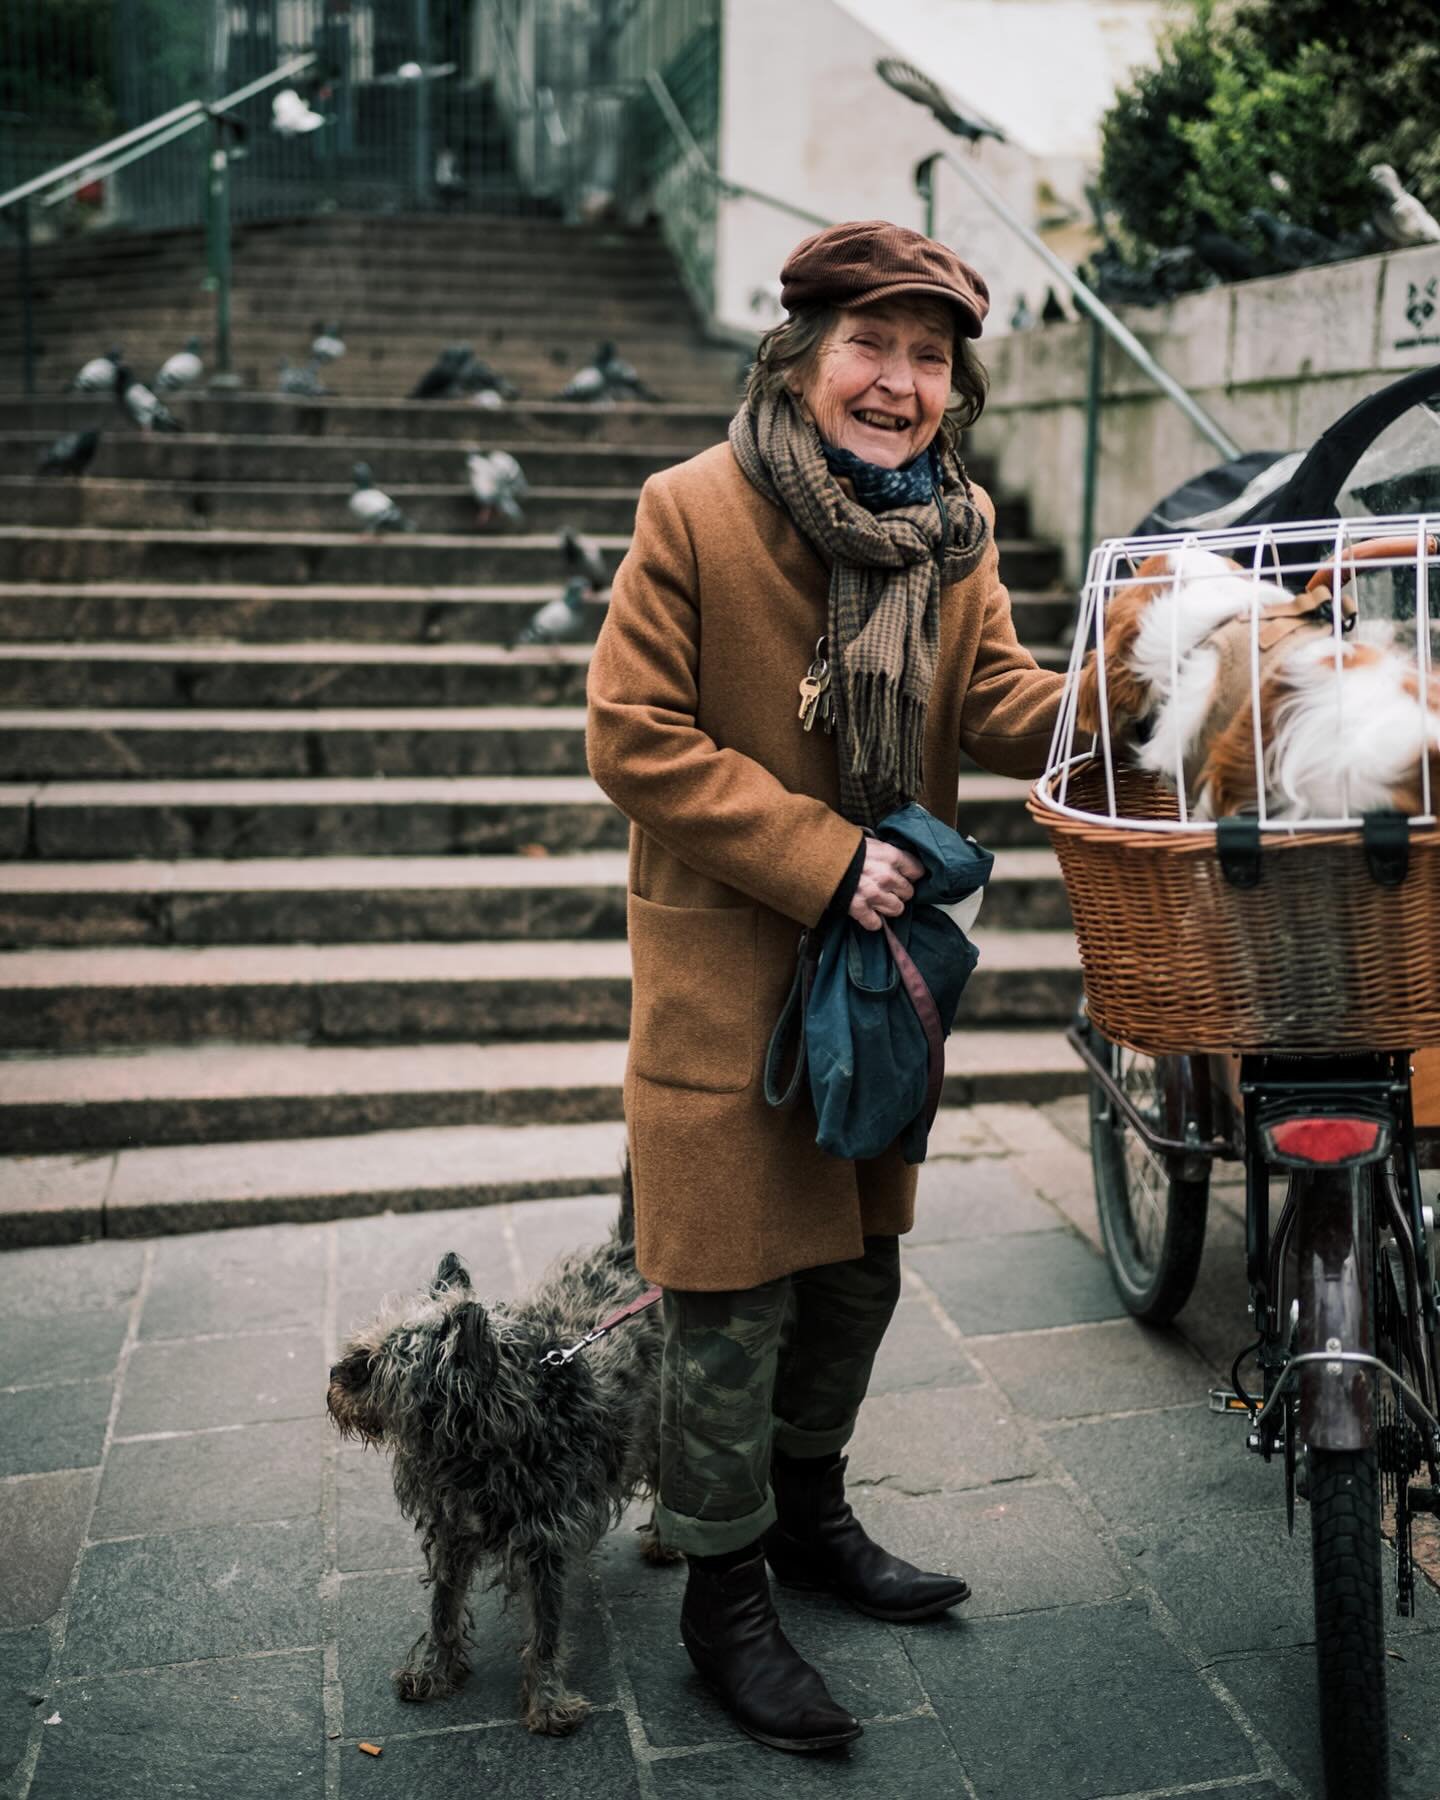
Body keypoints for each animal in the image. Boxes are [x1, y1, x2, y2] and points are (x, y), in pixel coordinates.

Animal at [329, 1180, 676, 1728]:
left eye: (375, 1362)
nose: (335, 1373)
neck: (483, 1441)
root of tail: (623, 1253)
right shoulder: (452, 1529)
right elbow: (443, 1609)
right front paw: (434, 1671)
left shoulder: (544, 1540)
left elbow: (546, 1630)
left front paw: (548, 1700)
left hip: (660, 1419)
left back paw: (664, 1538)